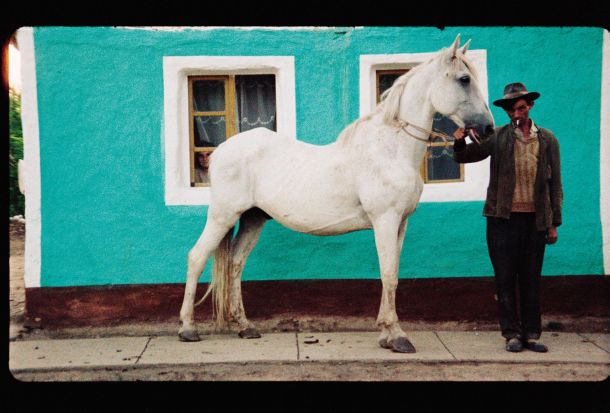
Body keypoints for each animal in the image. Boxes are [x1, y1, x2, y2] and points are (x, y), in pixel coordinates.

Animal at [178, 33, 492, 352]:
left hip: (253, 218)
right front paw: (398, 336)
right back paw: (188, 328)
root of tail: (220, 151)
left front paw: (385, 334)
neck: (391, 149)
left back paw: (245, 327)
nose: (487, 128)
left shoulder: (401, 223)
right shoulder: (386, 220)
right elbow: (388, 274)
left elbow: (391, 273)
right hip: (223, 215)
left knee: (236, 263)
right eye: (464, 79)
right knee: (197, 257)